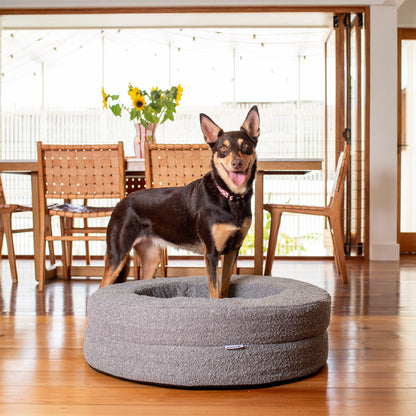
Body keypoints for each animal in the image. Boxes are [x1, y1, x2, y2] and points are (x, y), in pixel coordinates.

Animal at [98, 105, 258, 298]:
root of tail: (120, 203)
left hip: (151, 258)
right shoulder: (211, 252)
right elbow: (214, 292)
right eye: (223, 148)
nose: (237, 163)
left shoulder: (233, 250)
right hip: (117, 255)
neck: (229, 196)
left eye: (245, 146)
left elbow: (224, 290)